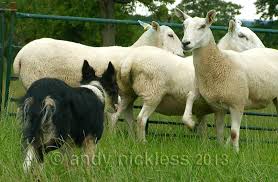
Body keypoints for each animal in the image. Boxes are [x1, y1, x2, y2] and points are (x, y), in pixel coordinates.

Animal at [179, 9, 278, 151]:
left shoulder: (237, 103)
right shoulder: (217, 105)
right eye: (183, 25)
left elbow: (234, 133)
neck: (221, 61)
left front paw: (236, 153)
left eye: (203, 26)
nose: (185, 43)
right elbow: (219, 131)